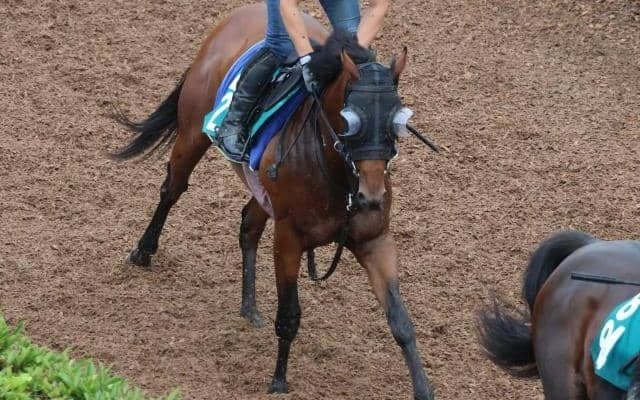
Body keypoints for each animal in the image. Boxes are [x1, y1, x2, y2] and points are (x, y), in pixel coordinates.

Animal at [111, 4, 434, 399]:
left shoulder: (374, 239)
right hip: (192, 133)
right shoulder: (289, 237)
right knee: (172, 189)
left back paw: (249, 306)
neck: (338, 178)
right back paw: (143, 251)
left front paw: (423, 389)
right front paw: (279, 379)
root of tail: (239, 14)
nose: (370, 197)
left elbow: (401, 320)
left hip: (263, 191)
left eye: (396, 120)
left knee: (248, 223)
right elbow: (290, 314)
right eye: (350, 121)